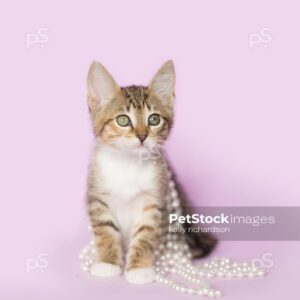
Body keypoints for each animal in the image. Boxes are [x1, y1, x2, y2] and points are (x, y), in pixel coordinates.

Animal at [85, 61, 217, 284]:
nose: (142, 136)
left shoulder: (154, 200)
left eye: (154, 119)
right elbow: (105, 230)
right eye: (123, 120)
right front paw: (108, 262)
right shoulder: (98, 196)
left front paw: (138, 268)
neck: (128, 164)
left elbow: (146, 234)